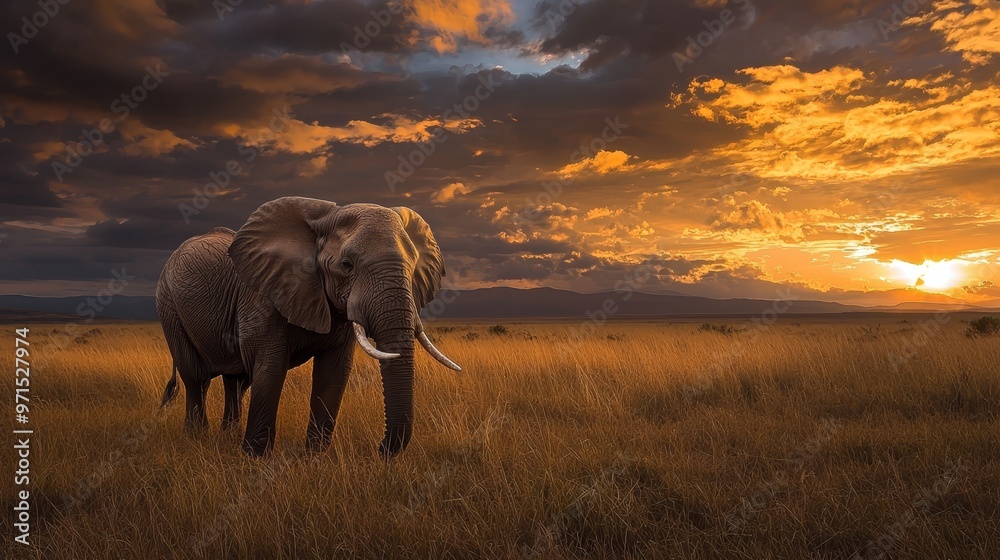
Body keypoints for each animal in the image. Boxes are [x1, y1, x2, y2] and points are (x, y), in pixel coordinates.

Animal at [156, 197, 461, 459]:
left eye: (413, 266)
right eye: (346, 265)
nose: (381, 450)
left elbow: (333, 373)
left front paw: (313, 458)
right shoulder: (264, 296)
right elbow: (270, 368)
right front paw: (255, 459)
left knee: (235, 381)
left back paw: (227, 437)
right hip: (168, 305)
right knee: (196, 376)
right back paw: (197, 437)